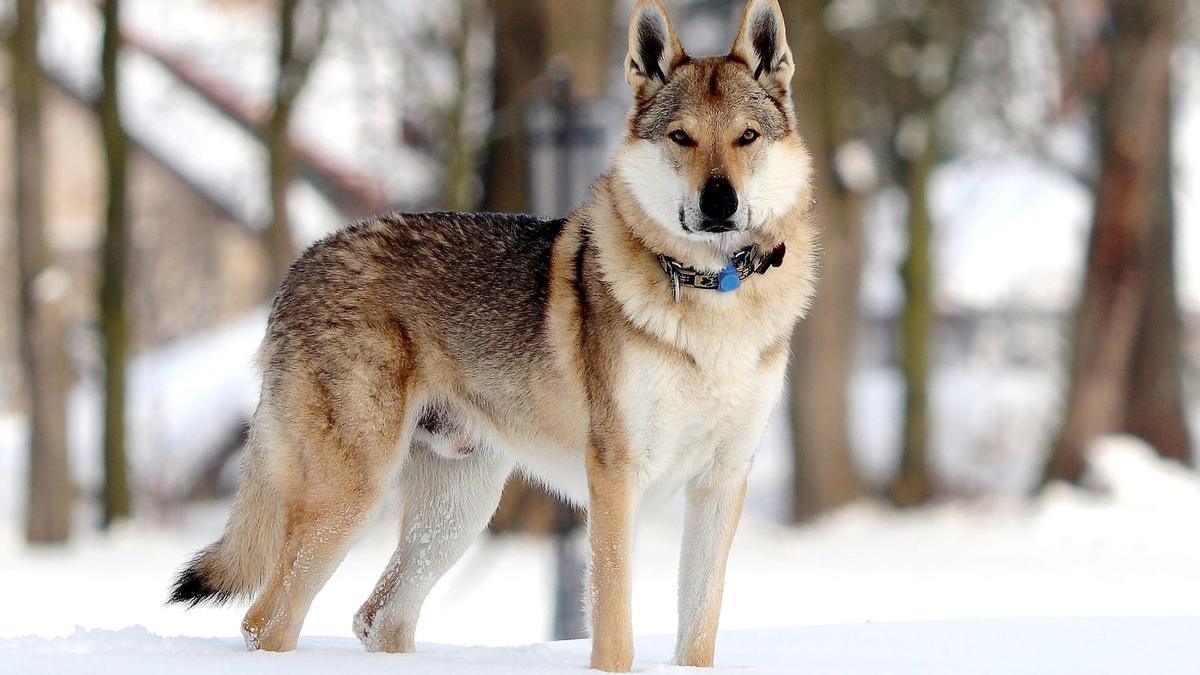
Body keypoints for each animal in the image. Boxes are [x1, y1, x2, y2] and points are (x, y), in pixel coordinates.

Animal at [169, 1, 820, 667]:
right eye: (681, 137)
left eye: (747, 137)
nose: (719, 201)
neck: (713, 298)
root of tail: (300, 265)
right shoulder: (616, 478)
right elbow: (614, 628)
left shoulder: (722, 480)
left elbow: (698, 631)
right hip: (354, 497)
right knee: (266, 620)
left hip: (459, 511)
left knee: (376, 616)